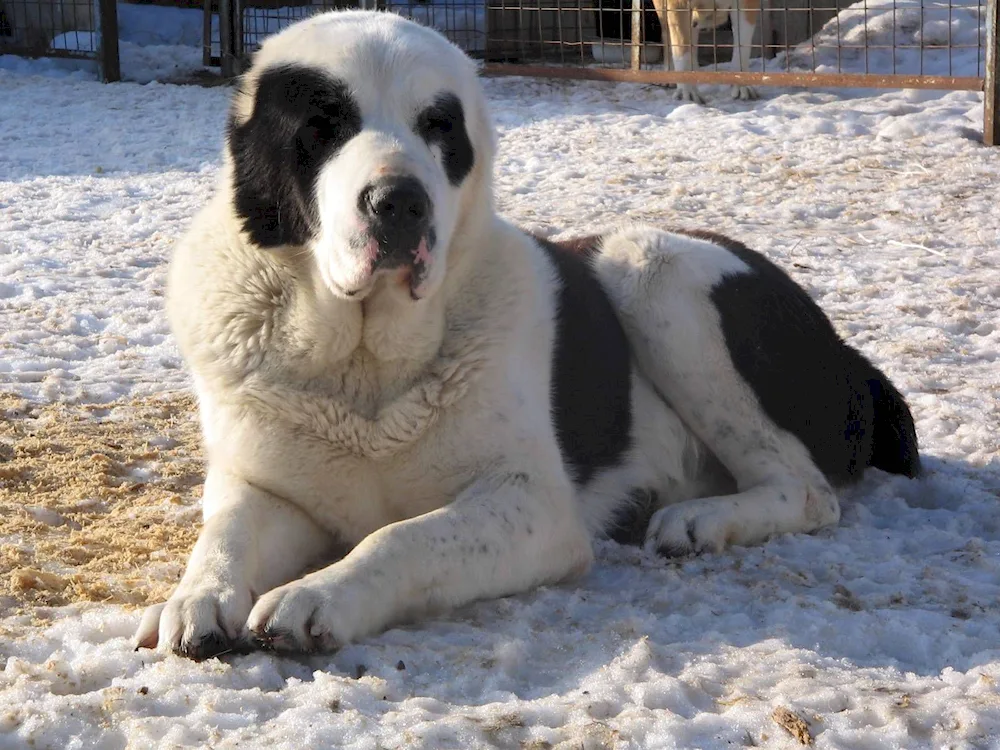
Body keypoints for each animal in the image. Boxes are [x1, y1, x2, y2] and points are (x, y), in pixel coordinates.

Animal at [135, 10, 920, 656]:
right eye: (321, 126)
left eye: (438, 126)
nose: (399, 202)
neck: (365, 366)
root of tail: (845, 350)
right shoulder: (268, 489)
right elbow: (226, 532)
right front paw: (194, 598)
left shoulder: (532, 504)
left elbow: (404, 537)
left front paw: (318, 594)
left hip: (651, 265)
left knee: (806, 490)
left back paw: (700, 522)